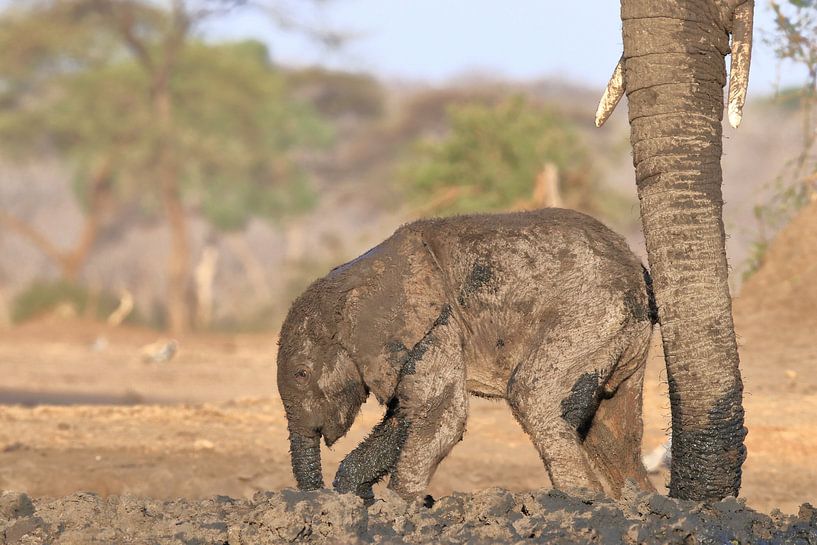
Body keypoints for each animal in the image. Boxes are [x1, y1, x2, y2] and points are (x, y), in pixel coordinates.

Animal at [277, 208, 657, 501]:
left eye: (302, 373)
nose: (317, 497)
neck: (354, 280)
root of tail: (638, 270)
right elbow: (405, 416)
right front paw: (356, 497)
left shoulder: (437, 325)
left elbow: (437, 414)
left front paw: (397, 507)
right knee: (611, 433)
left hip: (589, 317)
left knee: (534, 398)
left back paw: (581, 502)